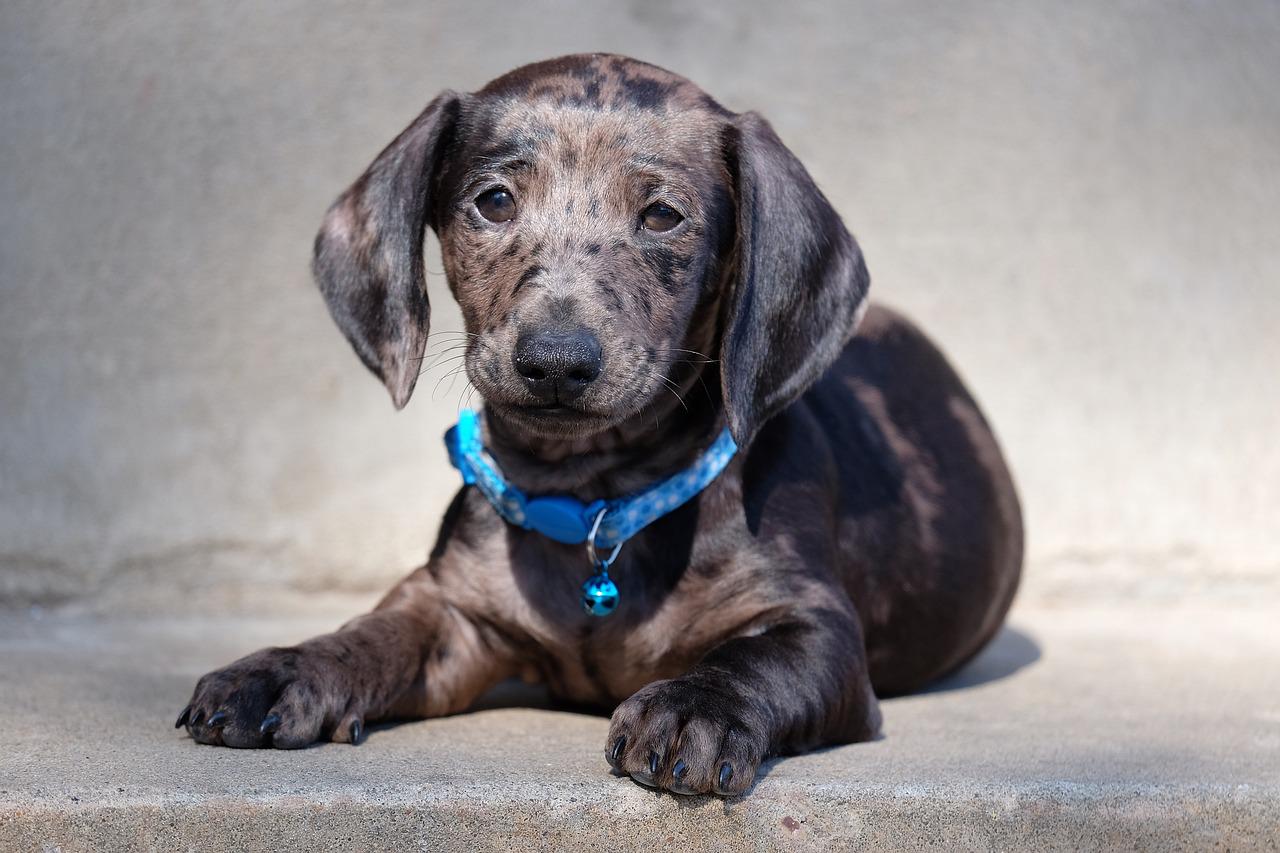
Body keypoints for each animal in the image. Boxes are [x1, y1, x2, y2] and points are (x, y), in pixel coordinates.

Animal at [177, 54, 1018, 799]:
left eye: (662, 215)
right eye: (494, 201)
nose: (554, 361)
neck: (593, 496)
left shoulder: (816, 626)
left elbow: (756, 659)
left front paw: (695, 707)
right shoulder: (451, 610)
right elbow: (372, 633)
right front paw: (284, 667)